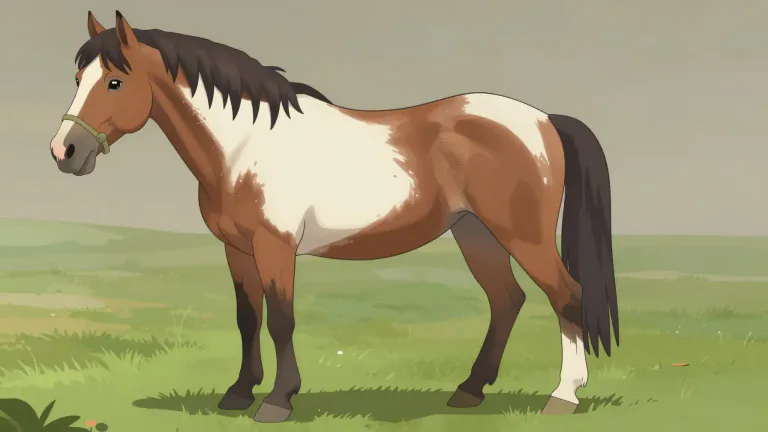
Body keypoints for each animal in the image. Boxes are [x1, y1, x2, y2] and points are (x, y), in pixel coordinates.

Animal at [49, 10, 619, 423]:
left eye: (115, 83)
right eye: (77, 77)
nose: (64, 152)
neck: (245, 144)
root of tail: (543, 119)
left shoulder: (275, 245)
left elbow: (280, 318)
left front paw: (277, 401)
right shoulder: (236, 248)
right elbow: (247, 317)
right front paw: (237, 393)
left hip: (523, 236)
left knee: (565, 296)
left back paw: (562, 397)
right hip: (474, 233)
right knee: (506, 300)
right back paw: (468, 392)